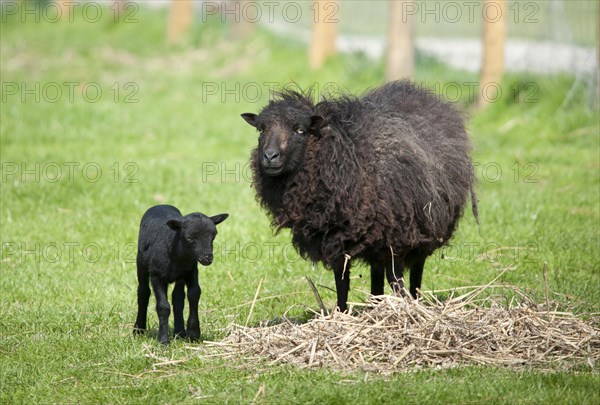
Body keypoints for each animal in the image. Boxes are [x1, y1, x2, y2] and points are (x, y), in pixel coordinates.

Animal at [133, 204, 227, 342]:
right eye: (189, 238)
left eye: (214, 236)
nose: (208, 258)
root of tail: (161, 205)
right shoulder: (157, 275)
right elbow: (163, 307)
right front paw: (163, 340)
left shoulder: (191, 271)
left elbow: (194, 294)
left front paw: (193, 334)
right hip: (141, 264)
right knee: (143, 292)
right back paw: (138, 330)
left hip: (180, 277)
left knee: (178, 298)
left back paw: (180, 332)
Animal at [240, 80, 478, 310]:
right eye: (261, 130)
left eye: (300, 130)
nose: (269, 156)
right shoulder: (334, 239)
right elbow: (341, 283)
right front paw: (342, 313)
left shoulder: (396, 238)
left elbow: (396, 280)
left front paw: (404, 311)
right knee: (377, 274)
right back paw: (375, 303)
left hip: (426, 227)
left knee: (415, 271)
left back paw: (414, 300)